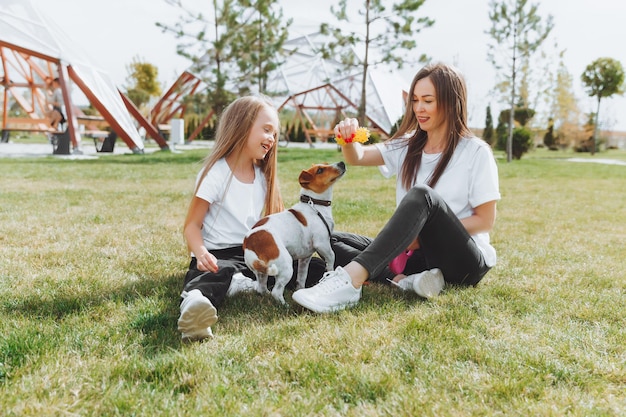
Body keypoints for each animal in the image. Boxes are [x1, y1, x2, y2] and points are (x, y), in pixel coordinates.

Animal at [240, 161, 346, 304]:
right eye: (320, 170)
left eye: (326, 164)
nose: (342, 162)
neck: (315, 205)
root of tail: (249, 241)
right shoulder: (323, 244)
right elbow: (331, 258)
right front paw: (331, 272)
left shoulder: (305, 258)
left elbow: (301, 277)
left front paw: (300, 289)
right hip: (285, 265)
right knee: (276, 291)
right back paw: (284, 305)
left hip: (261, 271)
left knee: (261, 288)